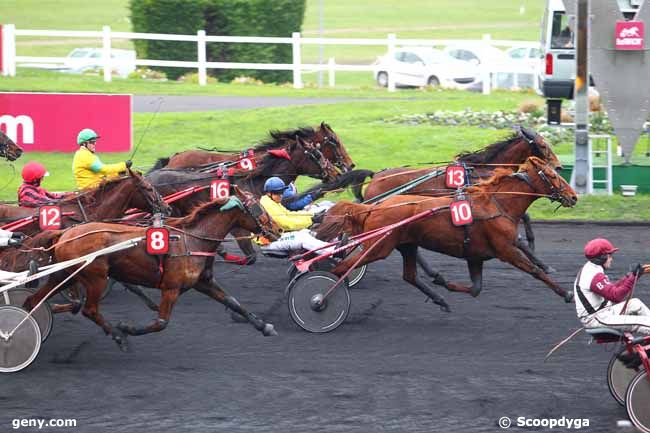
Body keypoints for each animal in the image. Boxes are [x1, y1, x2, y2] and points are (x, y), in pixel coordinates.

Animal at [24, 186, 282, 352]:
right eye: (259, 208)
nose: (277, 230)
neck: (193, 240)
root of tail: (64, 233)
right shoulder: (171, 288)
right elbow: (161, 322)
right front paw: (127, 327)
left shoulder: (202, 282)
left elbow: (233, 302)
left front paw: (265, 326)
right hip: (95, 277)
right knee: (89, 309)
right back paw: (118, 336)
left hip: (65, 274)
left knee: (34, 301)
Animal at [316, 155, 576, 310]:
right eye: (552, 176)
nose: (573, 196)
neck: (496, 204)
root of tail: (373, 207)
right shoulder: (505, 250)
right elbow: (534, 271)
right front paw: (566, 293)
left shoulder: (475, 255)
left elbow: (475, 289)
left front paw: (445, 284)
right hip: (378, 247)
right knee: (341, 268)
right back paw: (322, 298)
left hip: (406, 244)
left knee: (409, 276)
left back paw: (439, 297)